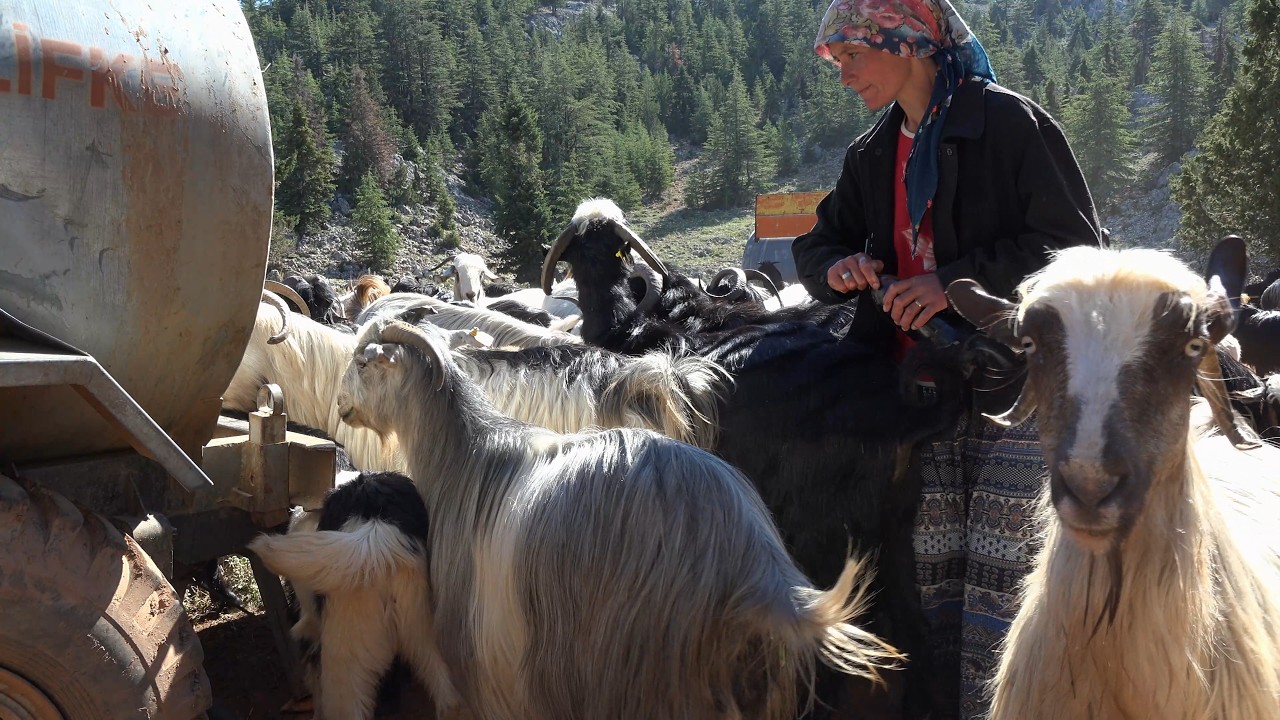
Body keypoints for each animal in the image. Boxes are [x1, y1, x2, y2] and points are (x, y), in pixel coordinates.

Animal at [257, 317, 901, 717]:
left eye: (366, 364)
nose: (339, 407)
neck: (468, 457)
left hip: (640, 665)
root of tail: (752, 560)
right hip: (747, 677)